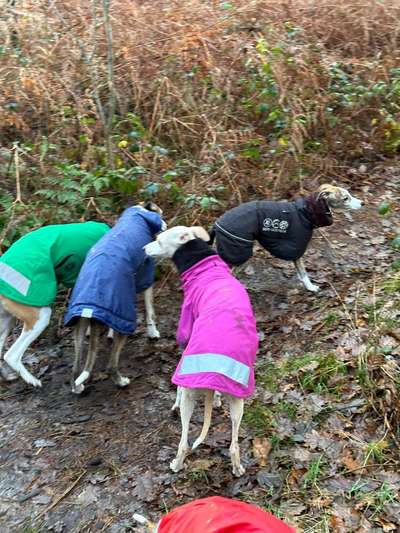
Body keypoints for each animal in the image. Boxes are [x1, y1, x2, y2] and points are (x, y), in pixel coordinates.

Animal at [64, 202, 166, 392]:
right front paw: (153, 332)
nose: (165, 225)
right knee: (111, 365)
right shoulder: (146, 275)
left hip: (79, 323)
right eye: (159, 213)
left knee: (75, 367)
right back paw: (121, 381)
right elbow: (150, 310)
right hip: (123, 322)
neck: (137, 216)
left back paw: (78, 387)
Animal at [145, 224, 260, 474]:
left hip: (190, 395)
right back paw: (237, 468)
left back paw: (176, 463)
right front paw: (216, 400)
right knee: (234, 445)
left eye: (159, 241)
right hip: (238, 401)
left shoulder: (186, 330)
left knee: (184, 441)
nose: (143, 249)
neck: (206, 267)